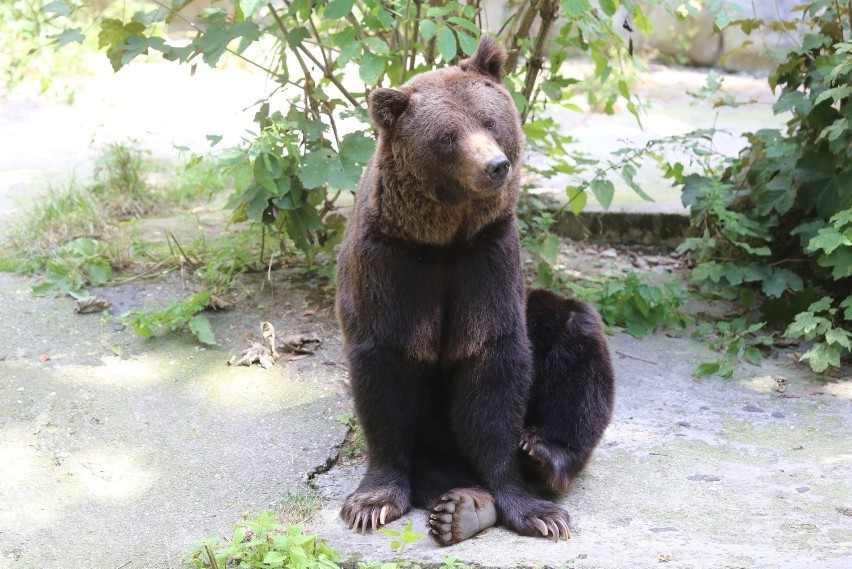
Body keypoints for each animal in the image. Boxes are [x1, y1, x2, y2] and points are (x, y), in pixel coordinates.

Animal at [332, 36, 612, 544]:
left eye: (489, 120)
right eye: (447, 136)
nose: (495, 165)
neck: (444, 237)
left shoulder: (487, 255)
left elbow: (492, 359)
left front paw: (536, 510)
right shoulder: (392, 262)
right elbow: (386, 368)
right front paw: (371, 502)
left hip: (541, 314)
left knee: (576, 336)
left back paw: (543, 454)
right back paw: (462, 502)